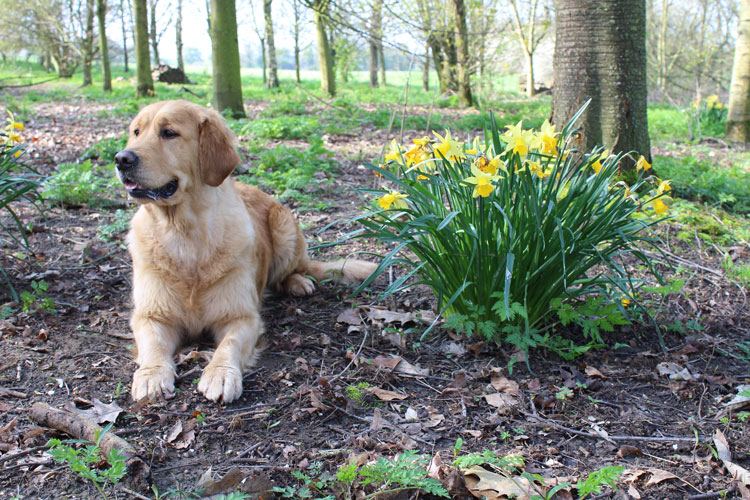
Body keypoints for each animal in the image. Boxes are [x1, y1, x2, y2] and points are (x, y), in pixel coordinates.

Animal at [114, 99, 376, 404]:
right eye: (136, 132)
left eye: (168, 133)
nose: (121, 159)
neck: (184, 233)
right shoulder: (151, 315)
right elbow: (154, 345)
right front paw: (152, 374)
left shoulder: (241, 316)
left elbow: (229, 344)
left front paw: (220, 374)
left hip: (284, 225)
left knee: (294, 270)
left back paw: (298, 282)